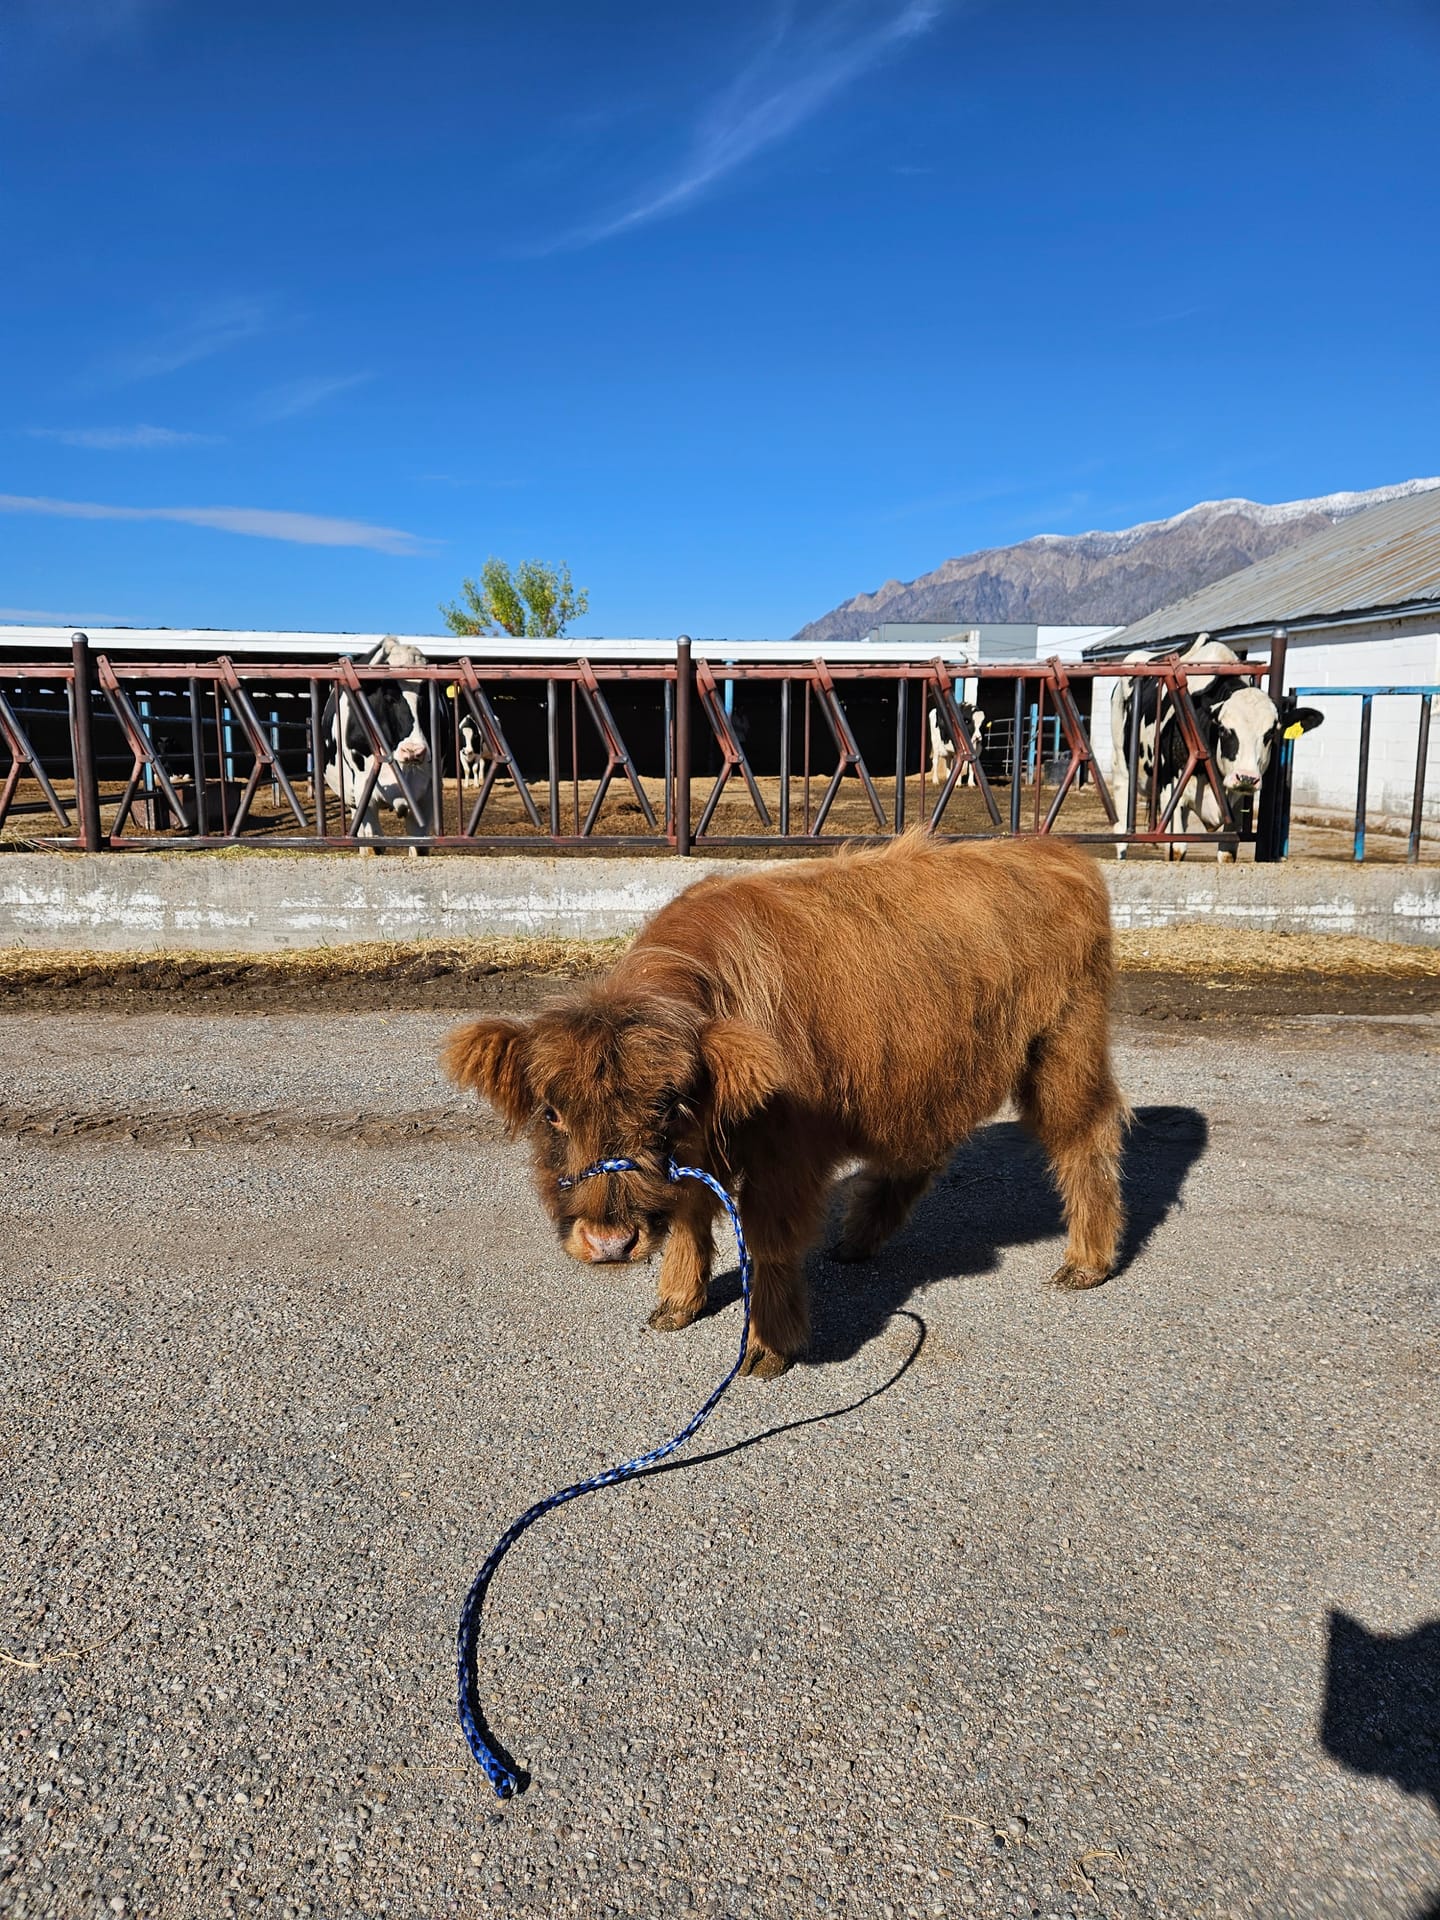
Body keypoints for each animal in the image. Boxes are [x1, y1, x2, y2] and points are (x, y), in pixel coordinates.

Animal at [444, 831, 1127, 1380]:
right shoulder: (702, 1153)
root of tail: (1055, 851)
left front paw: (767, 1347)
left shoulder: (783, 1156)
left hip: (1064, 1044)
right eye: (552, 1113)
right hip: (930, 1072)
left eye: (666, 1106)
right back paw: (858, 1239)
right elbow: (690, 1214)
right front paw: (677, 1304)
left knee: (1085, 1133)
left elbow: (767, 1240)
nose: (610, 1241)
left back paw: (1087, 1261)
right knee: (923, 1148)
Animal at [1110, 637, 1323, 862]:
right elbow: (1176, 850)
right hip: (1122, 767)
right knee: (1122, 830)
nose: (1246, 778)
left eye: (1271, 734)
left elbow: (1227, 853)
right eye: (1223, 729)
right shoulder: (1170, 791)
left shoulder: (1236, 805)